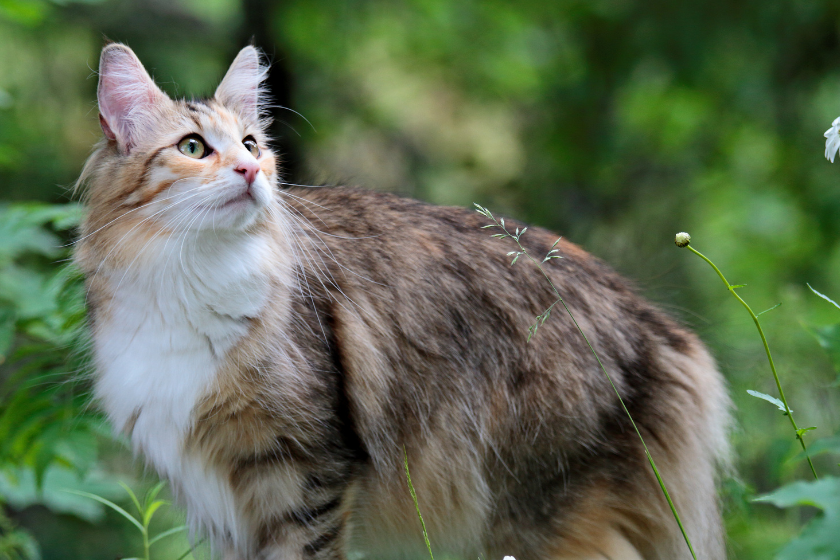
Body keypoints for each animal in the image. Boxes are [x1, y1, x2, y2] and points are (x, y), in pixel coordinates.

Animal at [74, 43, 728, 560]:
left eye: (253, 144)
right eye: (192, 147)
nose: (250, 171)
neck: (187, 282)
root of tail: (657, 323)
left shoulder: (303, 476)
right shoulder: (221, 503)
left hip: (537, 517)